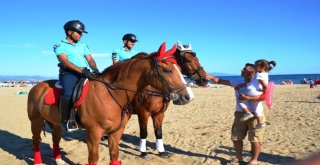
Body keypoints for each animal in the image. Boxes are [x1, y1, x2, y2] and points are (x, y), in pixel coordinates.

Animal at [27, 42, 192, 165]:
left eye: (179, 67)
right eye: (167, 70)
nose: (187, 97)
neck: (110, 95)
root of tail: (37, 86)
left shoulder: (116, 132)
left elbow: (114, 156)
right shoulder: (94, 133)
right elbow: (93, 159)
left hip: (56, 124)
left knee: (55, 139)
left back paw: (59, 160)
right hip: (35, 121)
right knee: (36, 141)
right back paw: (38, 161)